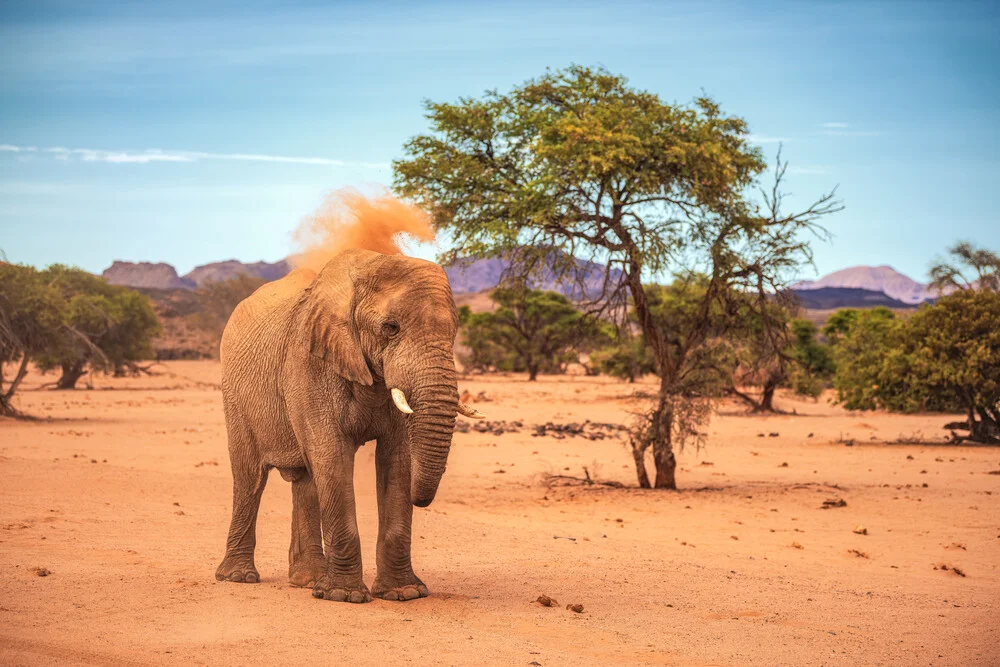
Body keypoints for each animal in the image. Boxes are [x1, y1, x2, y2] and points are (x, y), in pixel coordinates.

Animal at [215, 248, 484, 604]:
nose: (422, 500)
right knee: (250, 478)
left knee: (305, 481)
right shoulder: (309, 362)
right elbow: (332, 456)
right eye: (390, 327)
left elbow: (397, 461)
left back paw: (307, 580)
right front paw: (344, 596)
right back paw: (239, 577)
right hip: (235, 392)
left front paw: (405, 593)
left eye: (454, 332)